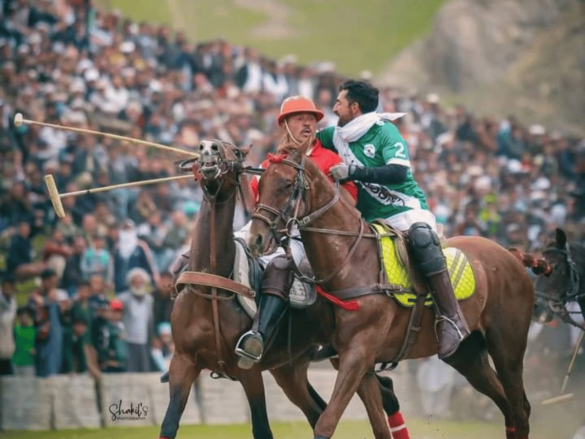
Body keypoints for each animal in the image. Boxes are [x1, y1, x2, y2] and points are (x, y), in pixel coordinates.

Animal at [160, 141, 406, 439]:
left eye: (235, 152)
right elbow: (169, 424)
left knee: (384, 391)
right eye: (202, 149)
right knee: (322, 409)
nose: (209, 148)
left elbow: (262, 428)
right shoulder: (183, 362)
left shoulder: (248, 371)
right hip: (291, 368)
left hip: (345, 353)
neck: (212, 281)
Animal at [246, 146, 540, 438]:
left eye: (286, 184)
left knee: (520, 408)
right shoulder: (356, 361)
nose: (256, 239)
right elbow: (378, 426)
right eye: (260, 184)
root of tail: (512, 256)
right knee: (507, 405)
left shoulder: (358, 352)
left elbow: (326, 423)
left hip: (507, 347)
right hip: (467, 355)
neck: (351, 261)